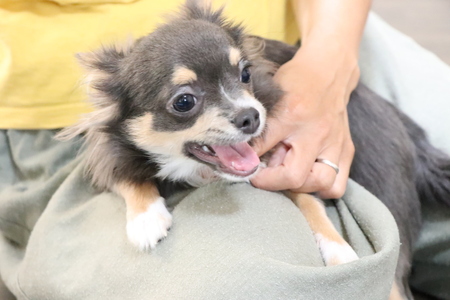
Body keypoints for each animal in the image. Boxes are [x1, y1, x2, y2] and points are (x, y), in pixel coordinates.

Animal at [58, 1, 450, 298]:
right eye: (184, 102)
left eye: (245, 74)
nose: (251, 116)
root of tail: (413, 137)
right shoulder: (106, 152)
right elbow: (127, 175)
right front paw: (145, 219)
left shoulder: (289, 161)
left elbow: (308, 200)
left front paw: (338, 248)